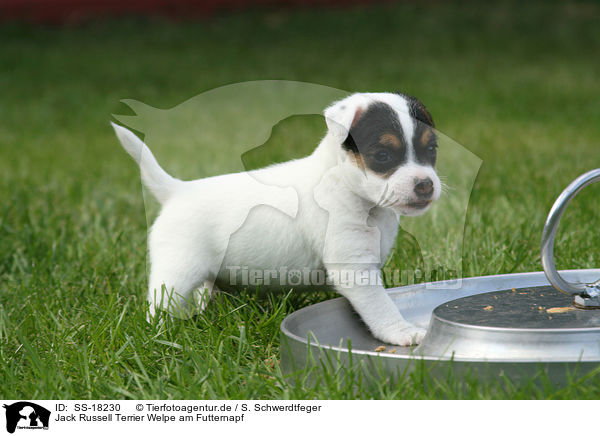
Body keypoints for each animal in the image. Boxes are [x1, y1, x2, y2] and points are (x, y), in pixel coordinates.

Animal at [112, 91, 440, 344]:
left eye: (431, 149)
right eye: (383, 155)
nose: (425, 184)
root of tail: (177, 190)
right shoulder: (354, 267)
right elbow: (380, 306)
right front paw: (402, 332)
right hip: (176, 273)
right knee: (159, 305)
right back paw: (160, 333)